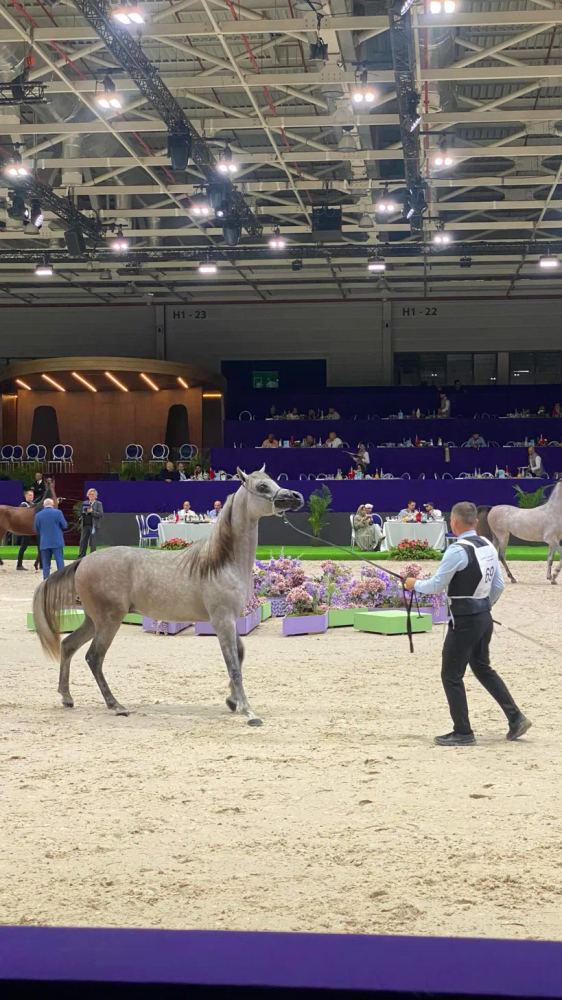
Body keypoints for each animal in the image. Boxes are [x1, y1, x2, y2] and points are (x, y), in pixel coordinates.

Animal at [32, 467, 303, 725]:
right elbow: (233, 665)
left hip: (93, 620)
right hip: (109, 621)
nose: (296, 496)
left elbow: (240, 654)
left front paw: (232, 701)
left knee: (68, 646)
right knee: (94, 658)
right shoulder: (222, 620)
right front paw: (248, 711)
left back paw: (67, 697)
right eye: (262, 486)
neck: (220, 563)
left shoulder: (231, 620)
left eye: (273, 481)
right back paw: (116, 705)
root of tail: (83, 561)